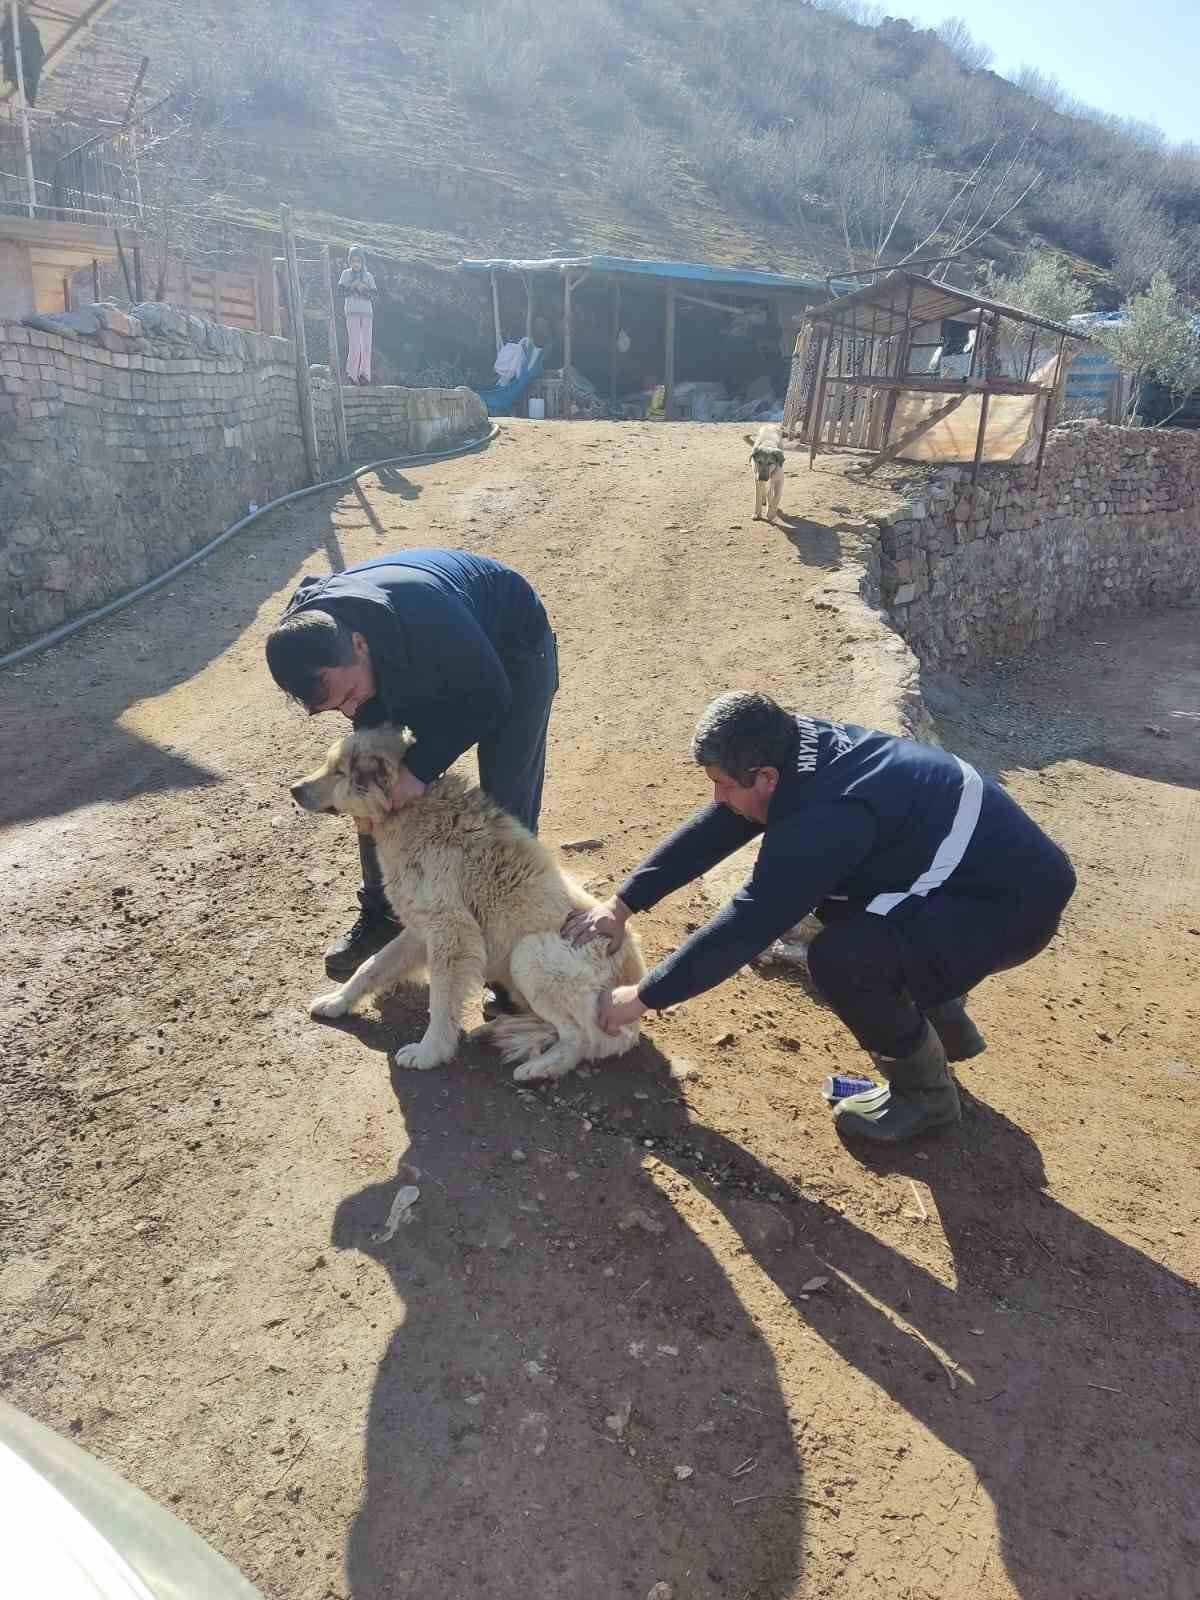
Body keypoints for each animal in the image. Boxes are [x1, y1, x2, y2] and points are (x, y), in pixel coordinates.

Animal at [291, 732, 649, 1081]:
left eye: (339, 772)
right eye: (329, 765)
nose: (294, 789)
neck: (410, 813)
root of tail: (632, 1019)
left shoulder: (451, 933)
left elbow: (440, 1000)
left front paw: (429, 1051)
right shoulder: (420, 929)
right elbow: (371, 966)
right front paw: (337, 1002)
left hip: (531, 952)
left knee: (581, 1038)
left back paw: (539, 1068)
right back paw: (498, 1030)